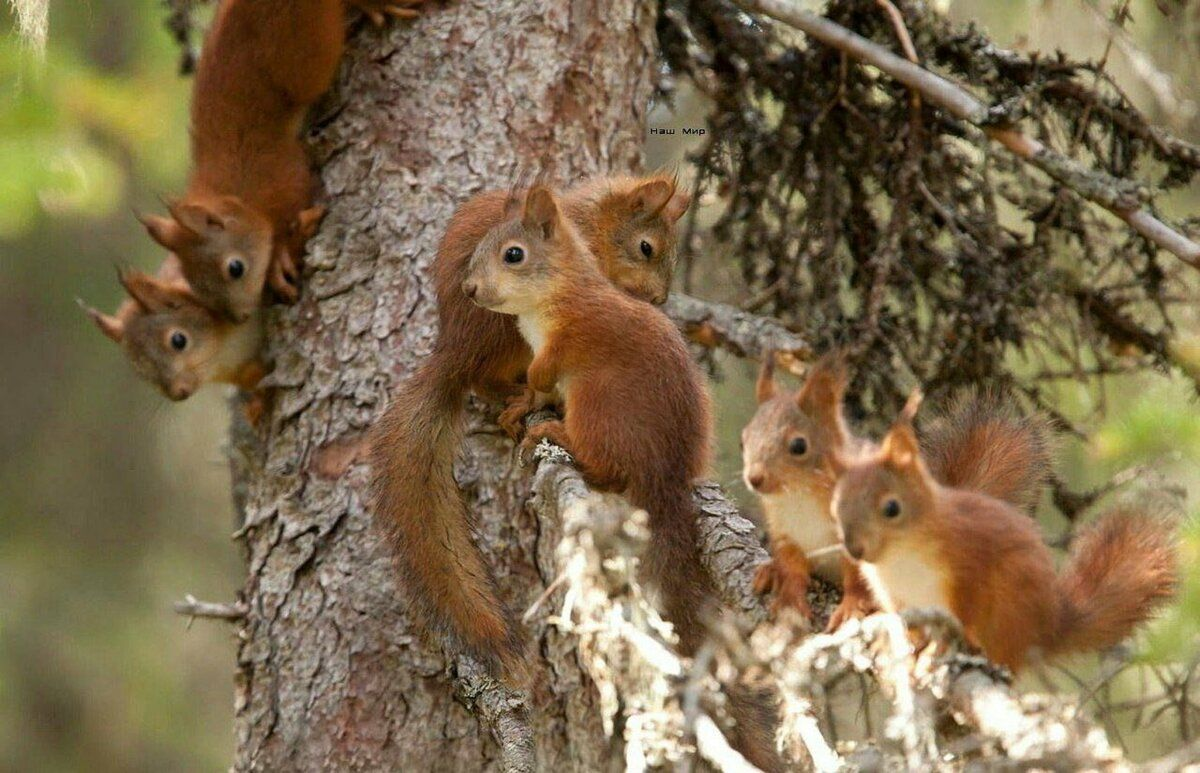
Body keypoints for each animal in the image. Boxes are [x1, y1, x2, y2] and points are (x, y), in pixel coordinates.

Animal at [142, 0, 424, 324]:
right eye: (195, 284)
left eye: (235, 268)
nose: (241, 317)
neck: (236, 192)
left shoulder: (280, 175)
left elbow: (291, 208)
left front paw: (277, 256)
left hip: (307, 46)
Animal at [364, 171, 691, 681]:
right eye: (646, 248)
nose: (658, 300)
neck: (591, 225)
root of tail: (453, 354)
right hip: (505, 336)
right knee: (486, 378)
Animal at [744, 355, 1056, 628]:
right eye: (743, 439)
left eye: (798, 445)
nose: (755, 478)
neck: (798, 496)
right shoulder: (785, 532)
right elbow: (792, 567)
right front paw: (788, 598)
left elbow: (857, 577)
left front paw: (852, 607)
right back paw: (768, 571)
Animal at [830, 396, 1176, 672]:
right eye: (837, 503)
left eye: (892, 508)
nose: (854, 548)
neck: (900, 558)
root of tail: (1047, 631)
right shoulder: (895, 595)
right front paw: (909, 642)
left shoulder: (967, 569)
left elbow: (966, 610)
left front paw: (945, 644)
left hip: (1010, 610)